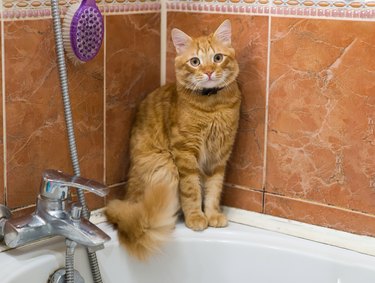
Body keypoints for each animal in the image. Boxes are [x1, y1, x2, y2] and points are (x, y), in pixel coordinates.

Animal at [105, 18, 241, 260]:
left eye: (217, 58)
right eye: (195, 62)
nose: (208, 72)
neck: (212, 108)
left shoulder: (220, 155)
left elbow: (214, 190)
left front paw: (212, 214)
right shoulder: (185, 153)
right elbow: (191, 190)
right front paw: (196, 217)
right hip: (166, 166)